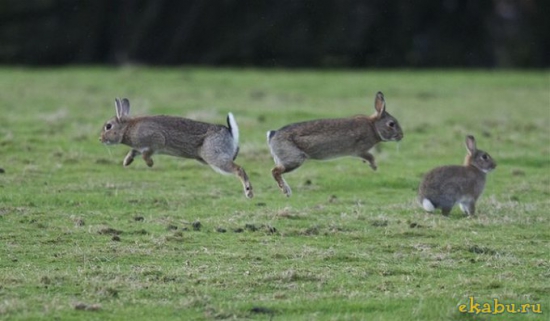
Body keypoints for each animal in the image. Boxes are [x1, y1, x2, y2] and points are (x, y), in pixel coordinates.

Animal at [99, 97, 254, 198]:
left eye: (109, 126)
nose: (100, 139)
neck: (127, 128)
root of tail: (230, 132)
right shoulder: (140, 146)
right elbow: (134, 151)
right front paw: (126, 162)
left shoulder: (156, 140)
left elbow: (146, 154)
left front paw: (150, 164)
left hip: (214, 157)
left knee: (239, 169)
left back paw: (249, 191)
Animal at [268, 90, 406, 195]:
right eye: (391, 124)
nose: (401, 136)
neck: (374, 127)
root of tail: (273, 135)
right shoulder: (359, 149)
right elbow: (370, 156)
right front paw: (374, 166)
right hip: (294, 158)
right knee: (275, 171)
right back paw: (286, 191)